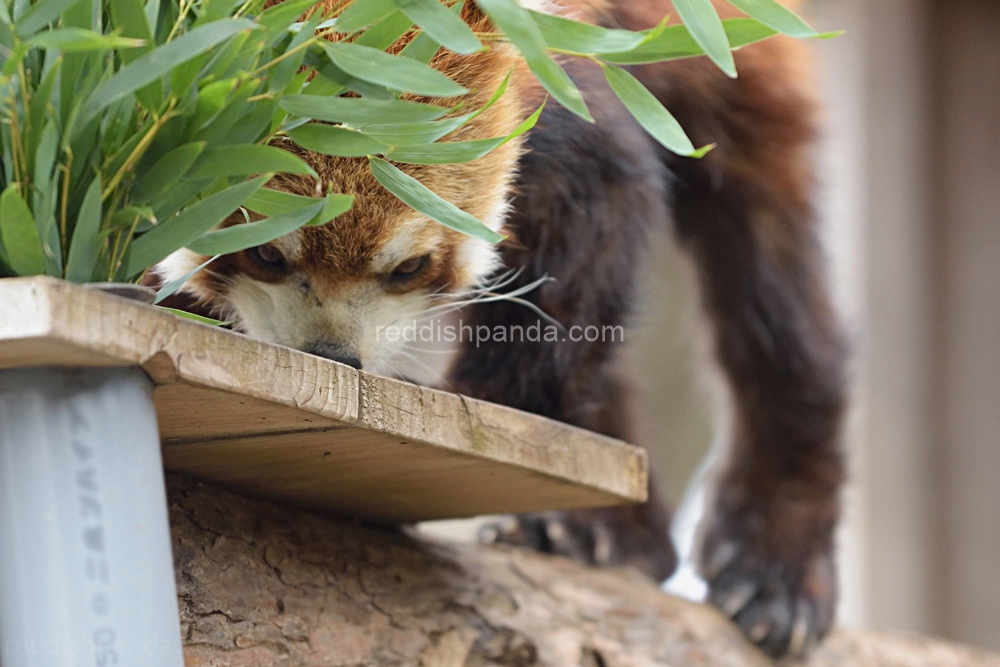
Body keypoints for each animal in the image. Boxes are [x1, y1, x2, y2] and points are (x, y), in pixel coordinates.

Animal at [152, 0, 848, 656]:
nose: (334, 357)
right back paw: (615, 536)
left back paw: (775, 565)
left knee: (772, 287)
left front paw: (479, 430)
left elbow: (586, 233)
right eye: (267, 254)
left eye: (410, 267)